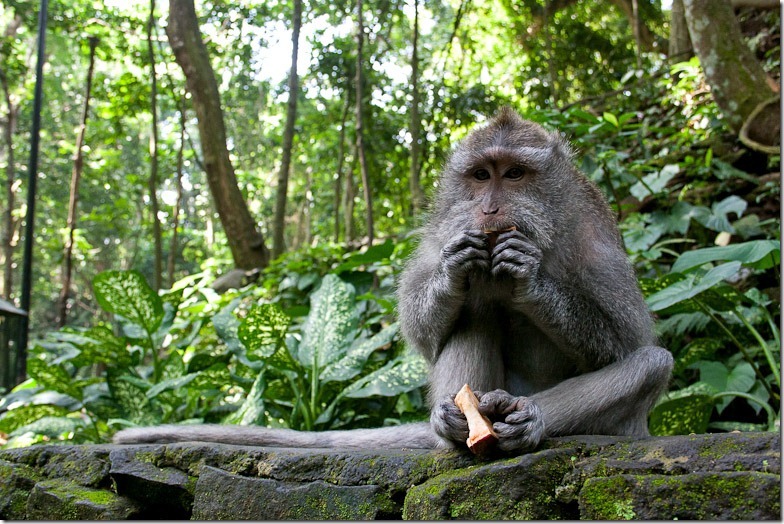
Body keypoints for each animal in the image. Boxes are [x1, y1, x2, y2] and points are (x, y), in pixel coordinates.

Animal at [115, 108, 672, 452]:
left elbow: (629, 339)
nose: (490, 209)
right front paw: (452, 273)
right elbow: (428, 330)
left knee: (652, 362)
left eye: (513, 175)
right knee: (473, 315)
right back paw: (454, 426)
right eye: (481, 176)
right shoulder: (444, 226)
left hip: (625, 429)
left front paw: (529, 278)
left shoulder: (594, 232)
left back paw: (526, 418)